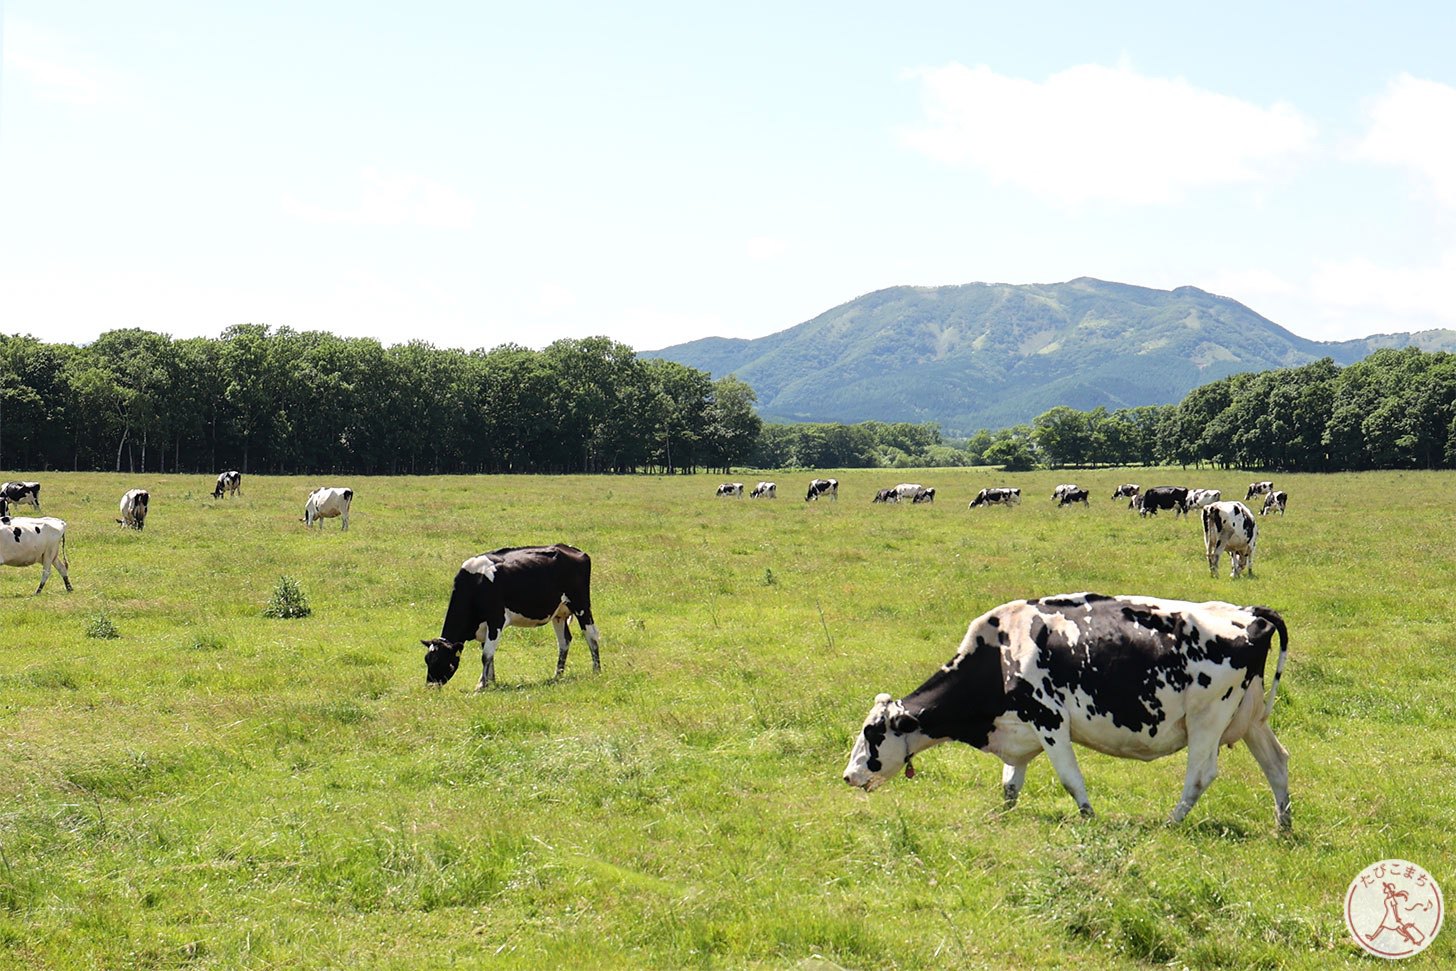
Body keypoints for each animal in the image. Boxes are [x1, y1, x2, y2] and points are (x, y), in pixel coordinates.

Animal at [422, 538, 602, 690]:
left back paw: (596, 671)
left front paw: (481, 686)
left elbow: (486, 655)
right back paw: (557, 676)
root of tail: (569, 548)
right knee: (564, 641)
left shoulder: (496, 620)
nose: (430, 686)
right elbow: (489, 655)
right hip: (558, 613)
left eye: (441, 660)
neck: (475, 584)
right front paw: (490, 681)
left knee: (591, 635)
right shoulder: (486, 626)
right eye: (427, 660)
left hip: (581, 605)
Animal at [850, 593, 1292, 826]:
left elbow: (1070, 778)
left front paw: (1088, 818)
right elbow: (1010, 784)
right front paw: (1002, 816)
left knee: (1200, 775)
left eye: (873, 734)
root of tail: (1249, 613)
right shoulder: (1019, 731)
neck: (1001, 650)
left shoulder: (1049, 720)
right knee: (1277, 762)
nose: (848, 775)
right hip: (1252, 720)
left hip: (1207, 719)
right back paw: (1283, 826)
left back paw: (1170, 824)